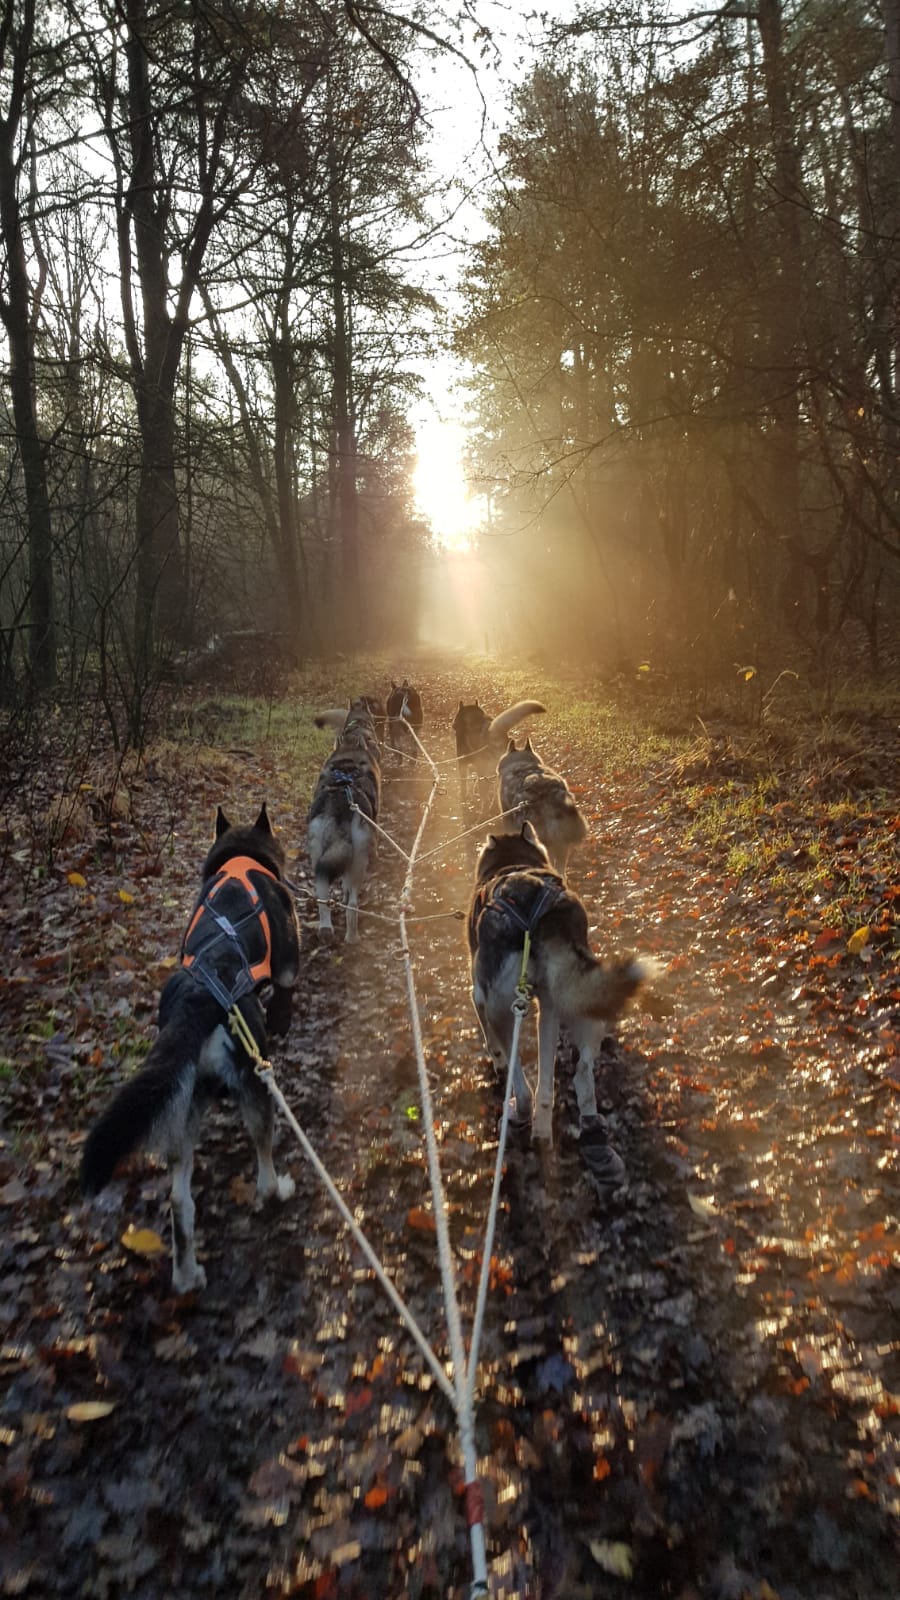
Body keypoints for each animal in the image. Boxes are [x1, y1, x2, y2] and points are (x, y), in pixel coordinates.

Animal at [81, 806, 297, 1292]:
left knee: (180, 1201)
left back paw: (185, 1274)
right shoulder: (288, 973)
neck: (240, 862)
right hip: (249, 1085)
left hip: (180, 1107)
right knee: (264, 1167)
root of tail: (199, 999)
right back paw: (279, 1189)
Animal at [305, 700, 379, 934]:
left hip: (318, 859)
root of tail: (339, 806)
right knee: (353, 903)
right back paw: (352, 935)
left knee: (322, 899)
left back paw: (326, 929)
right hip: (358, 862)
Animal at [464, 825, 646, 1177]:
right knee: (572, 1077)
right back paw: (561, 1127)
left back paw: (520, 1113)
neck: (511, 863)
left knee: (524, 1087)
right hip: (576, 998)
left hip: (504, 1010)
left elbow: (491, 1043)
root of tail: (538, 910)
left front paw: (495, 1059)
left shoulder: (479, 995)